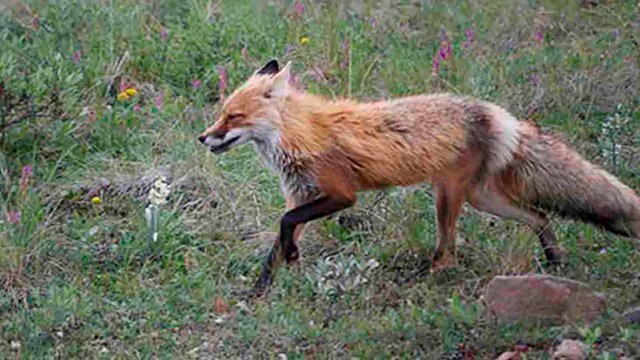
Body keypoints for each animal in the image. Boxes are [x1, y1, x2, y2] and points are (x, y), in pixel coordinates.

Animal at [198, 59, 640, 294]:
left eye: (233, 116)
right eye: (222, 113)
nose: (203, 137)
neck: (297, 134)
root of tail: (498, 114)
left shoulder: (340, 194)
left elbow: (285, 224)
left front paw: (289, 259)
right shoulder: (300, 195)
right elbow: (275, 245)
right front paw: (259, 294)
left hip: (447, 196)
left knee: (448, 252)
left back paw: (427, 280)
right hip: (481, 197)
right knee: (540, 216)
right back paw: (555, 259)